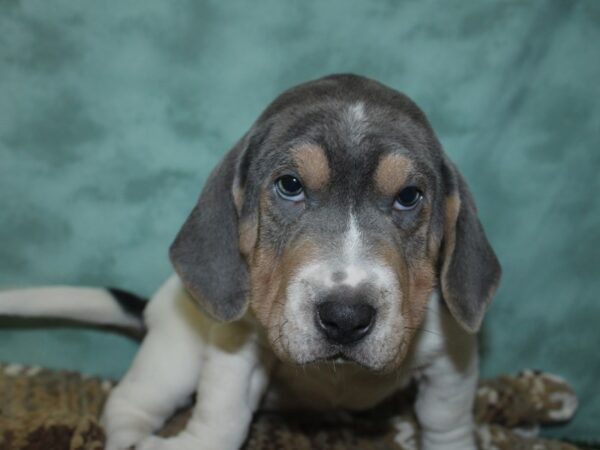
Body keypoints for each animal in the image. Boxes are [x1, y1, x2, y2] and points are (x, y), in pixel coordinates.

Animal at [0, 74, 502, 450]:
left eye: (409, 197)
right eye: (290, 185)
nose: (345, 317)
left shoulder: (452, 358)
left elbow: (447, 424)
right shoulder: (236, 346)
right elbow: (223, 419)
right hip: (174, 357)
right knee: (127, 404)